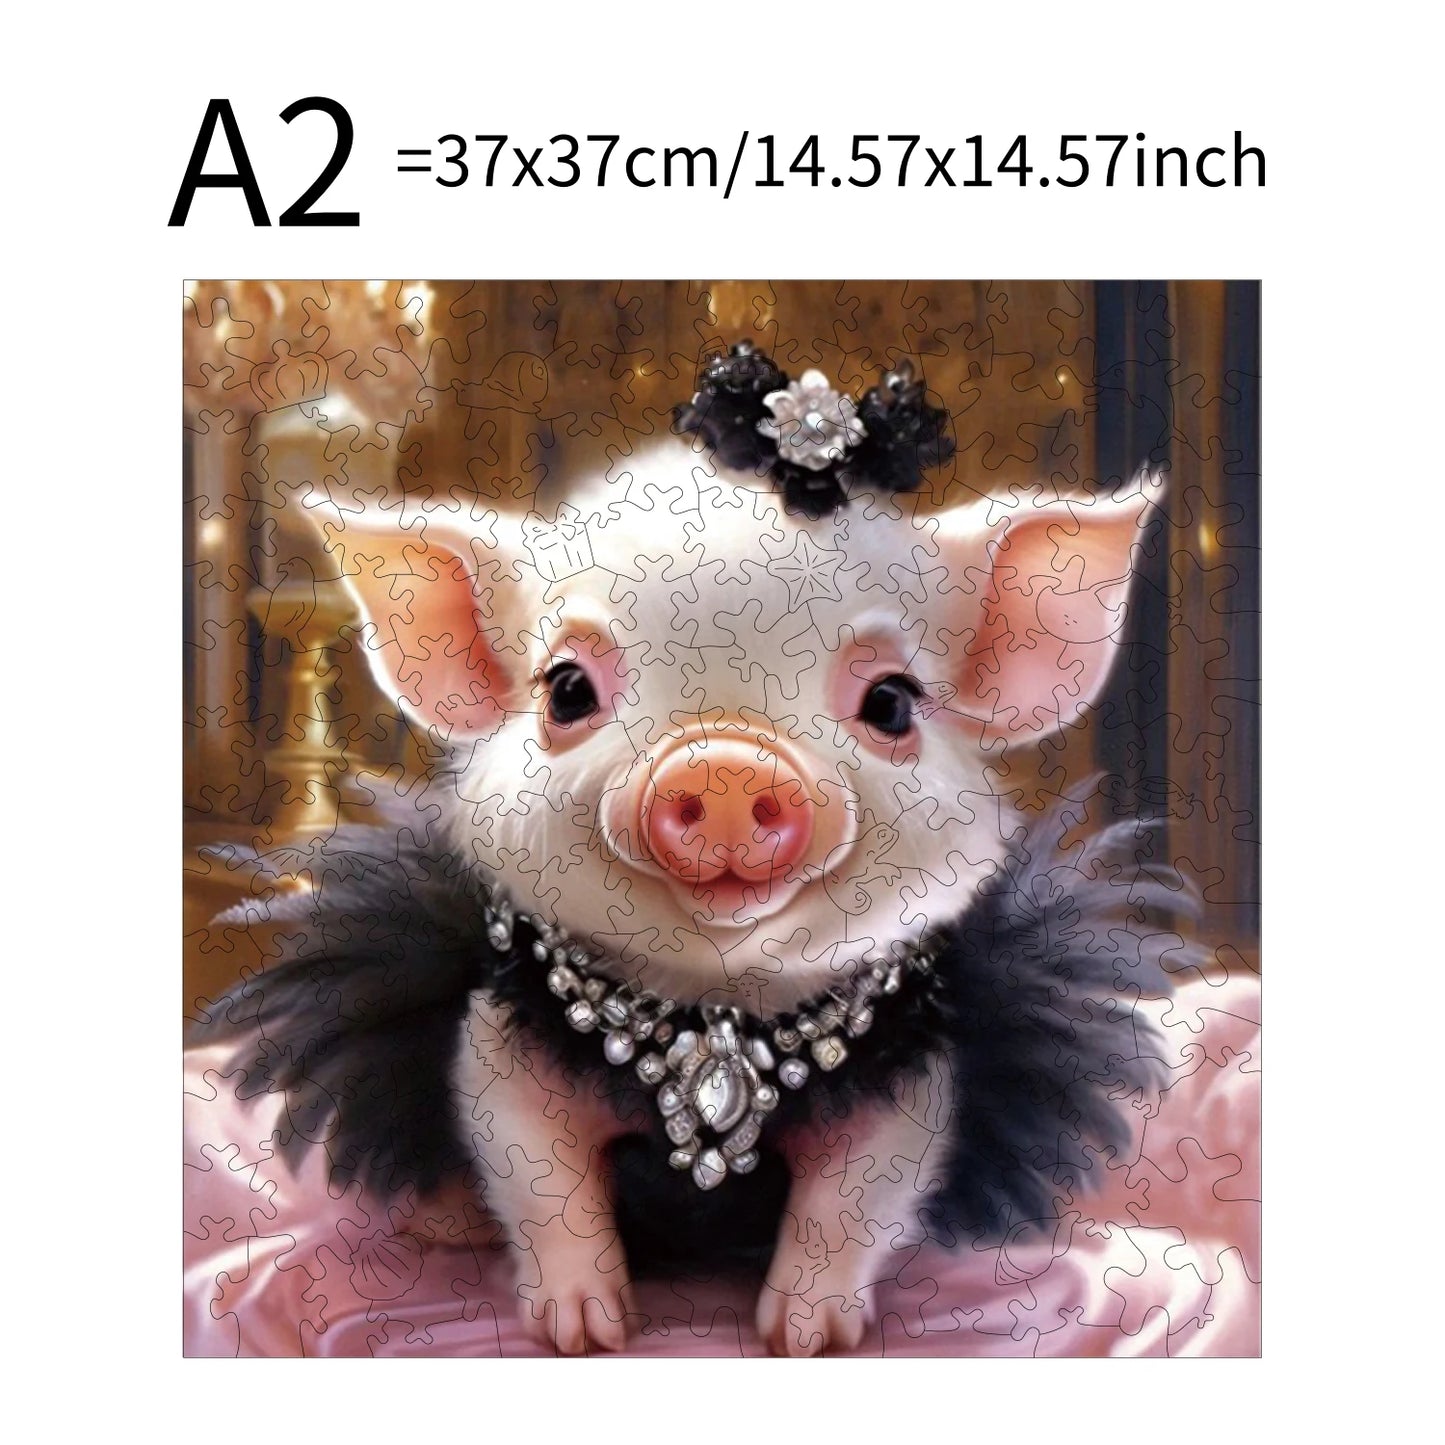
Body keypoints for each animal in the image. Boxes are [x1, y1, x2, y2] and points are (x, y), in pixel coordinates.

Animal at [195, 359, 1186, 1356]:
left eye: (892, 703)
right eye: (566, 689)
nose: (726, 763)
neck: (715, 1010)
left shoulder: (907, 1084)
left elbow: (848, 1204)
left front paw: (809, 1337)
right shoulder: (500, 1049)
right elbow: (546, 1184)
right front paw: (585, 1332)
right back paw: (444, 1224)